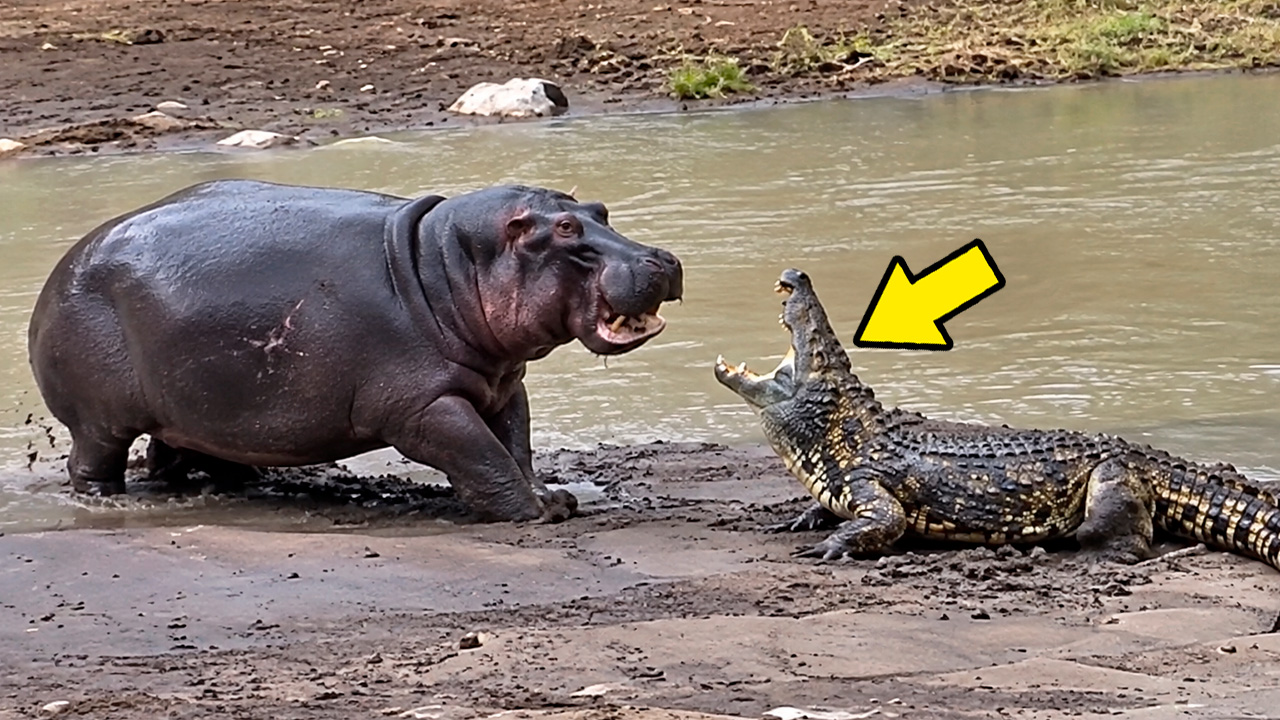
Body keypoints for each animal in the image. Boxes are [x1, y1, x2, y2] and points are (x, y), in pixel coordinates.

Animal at [28, 180, 683, 522]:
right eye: (566, 231)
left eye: (599, 210)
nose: (664, 260)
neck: (444, 265)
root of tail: (67, 260)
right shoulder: (422, 407)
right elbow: (481, 454)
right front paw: (535, 512)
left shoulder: (504, 384)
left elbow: (514, 445)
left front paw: (555, 497)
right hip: (100, 420)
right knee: (92, 460)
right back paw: (106, 500)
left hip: (197, 404)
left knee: (181, 450)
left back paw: (234, 484)